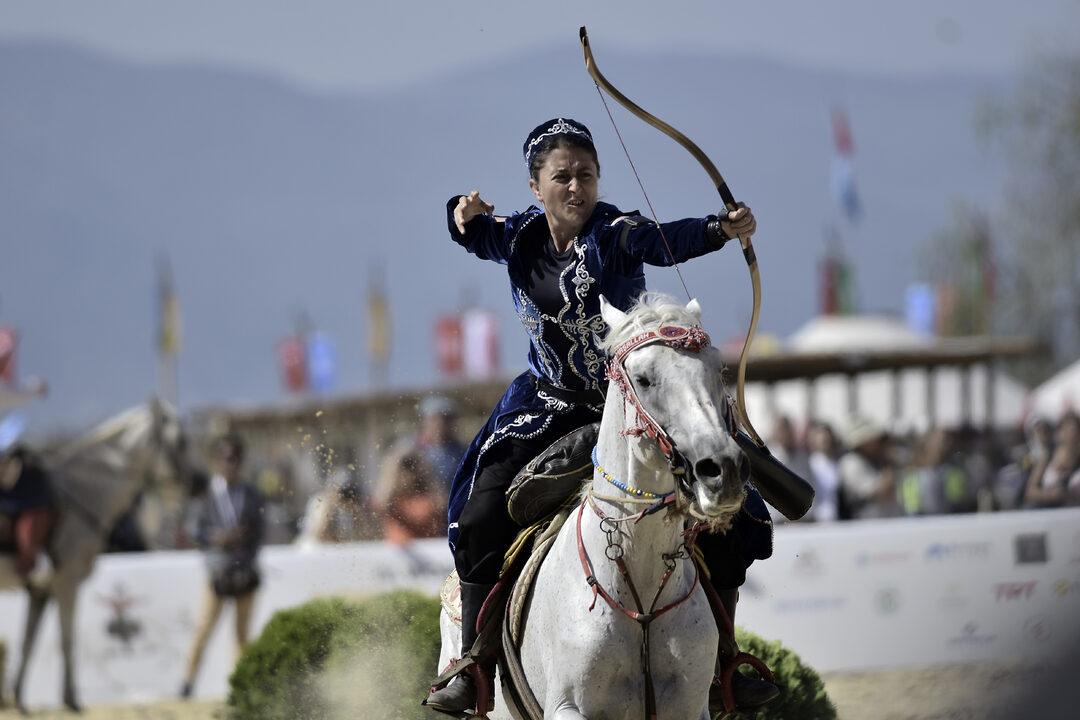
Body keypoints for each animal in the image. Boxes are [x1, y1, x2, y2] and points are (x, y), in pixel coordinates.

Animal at [0, 399, 186, 716]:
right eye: (182, 442)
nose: (200, 481)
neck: (85, 490)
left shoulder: (40, 589)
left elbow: (28, 642)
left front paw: (20, 701)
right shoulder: (66, 580)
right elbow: (67, 639)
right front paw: (71, 699)